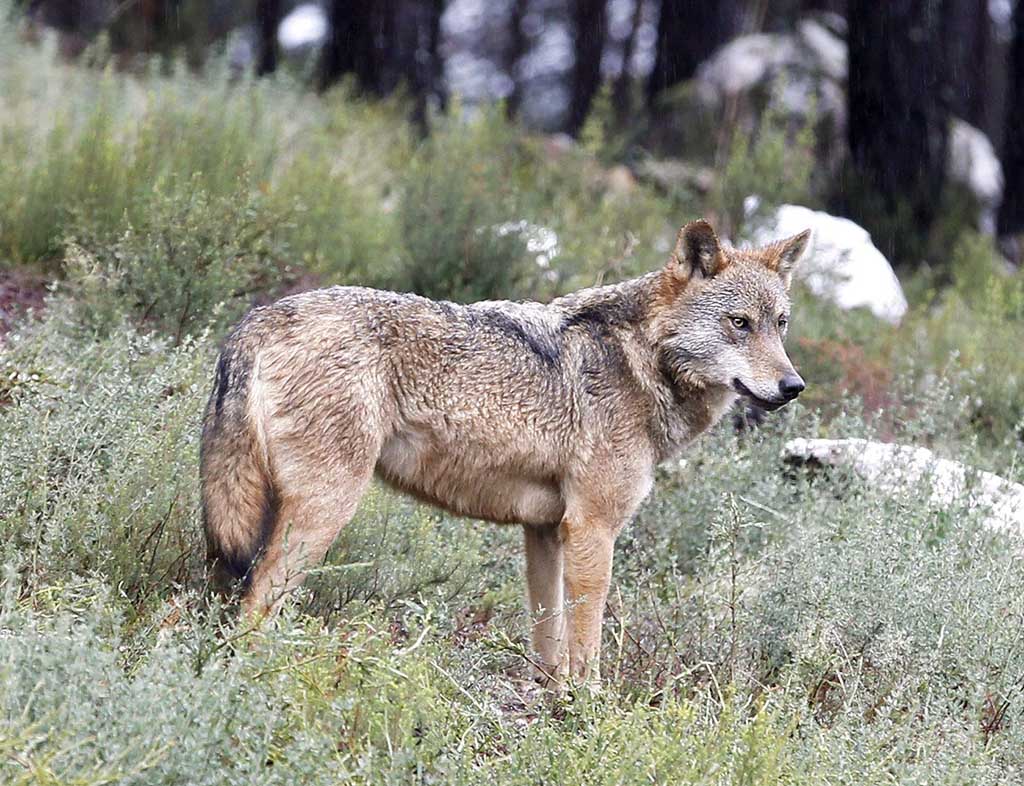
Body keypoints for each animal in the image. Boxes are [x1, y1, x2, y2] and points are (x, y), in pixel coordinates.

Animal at [200, 219, 809, 683]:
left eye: (780, 325)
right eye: (739, 324)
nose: (793, 386)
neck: (640, 361)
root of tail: (258, 319)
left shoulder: (545, 532)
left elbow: (550, 639)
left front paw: (553, 702)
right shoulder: (592, 530)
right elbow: (586, 645)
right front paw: (589, 712)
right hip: (323, 512)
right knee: (255, 605)